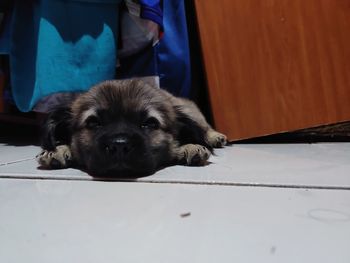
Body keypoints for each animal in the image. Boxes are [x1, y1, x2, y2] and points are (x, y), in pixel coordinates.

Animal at [35, 79, 227, 176]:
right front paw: (58, 149)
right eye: (93, 123)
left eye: (149, 123)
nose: (119, 146)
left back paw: (216, 137)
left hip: (191, 110)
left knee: (205, 128)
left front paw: (191, 146)